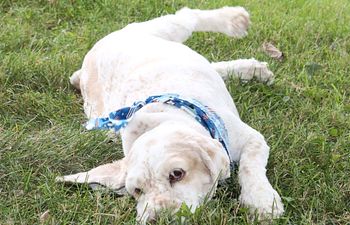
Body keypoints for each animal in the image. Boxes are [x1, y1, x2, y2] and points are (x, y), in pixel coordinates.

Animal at [55, 6, 284, 222]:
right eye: (137, 191)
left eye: (177, 174)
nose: (155, 220)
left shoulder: (250, 139)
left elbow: (250, 166)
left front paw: (262, 201)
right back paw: (252, 69)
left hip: (165, 28)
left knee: (188, 15)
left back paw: (234, 20)